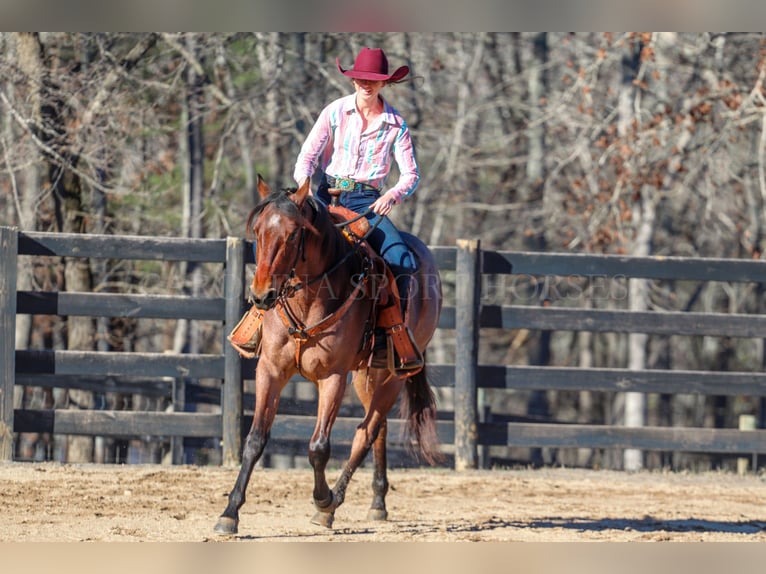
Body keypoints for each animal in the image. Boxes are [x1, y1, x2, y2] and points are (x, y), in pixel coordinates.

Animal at [214, 176, 444, 536]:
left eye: (293, 234)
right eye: (258, 231)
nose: (262, 295)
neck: (308, 300)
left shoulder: (332, 377)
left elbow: (319, 447)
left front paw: (322, 501)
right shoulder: (270, 370)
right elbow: (254, 440)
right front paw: (229, 512)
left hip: (392, 376)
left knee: (365, 433)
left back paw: (333, 503)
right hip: (366, 375)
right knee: (378, 429)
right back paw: (377, 503)